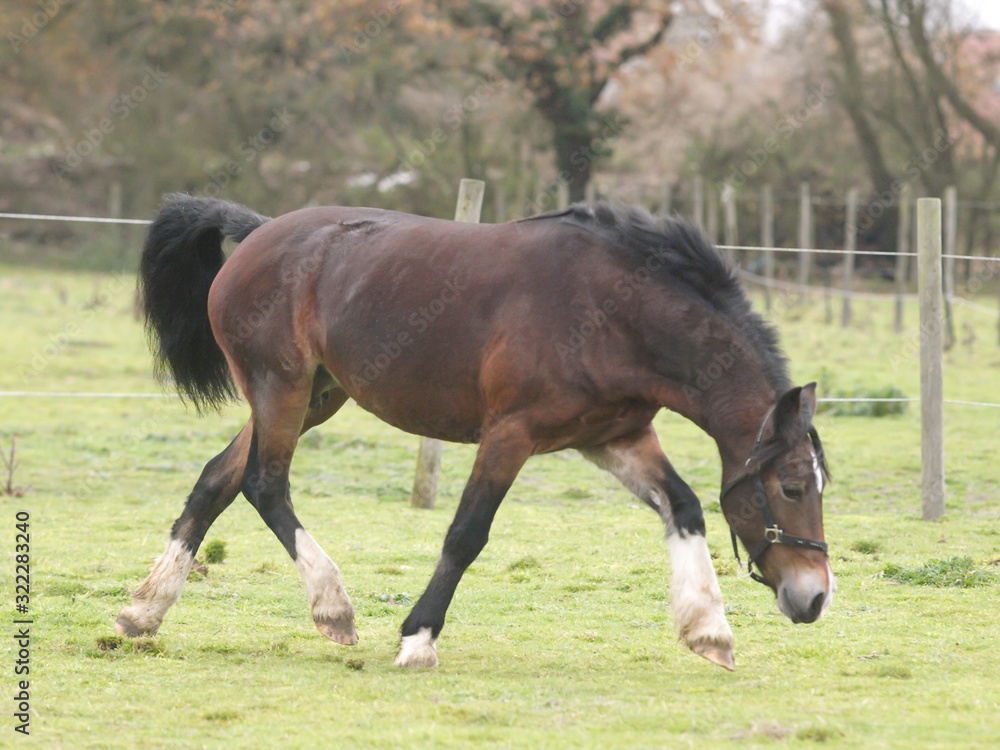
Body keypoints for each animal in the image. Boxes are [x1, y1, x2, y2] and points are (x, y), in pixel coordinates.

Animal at [117, 194, 833, 670]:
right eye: (793, 488)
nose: (815, 598)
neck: (614, 313)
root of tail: (260, 232)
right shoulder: (511, 434)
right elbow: (467, 534)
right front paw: (417, 639)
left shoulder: (614, 437)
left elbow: (684, 507)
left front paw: (709, 629)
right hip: (281, 389)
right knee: (265, 485)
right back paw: (333, 608)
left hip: (317, 395)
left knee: (218, 479)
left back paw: (144, 610)